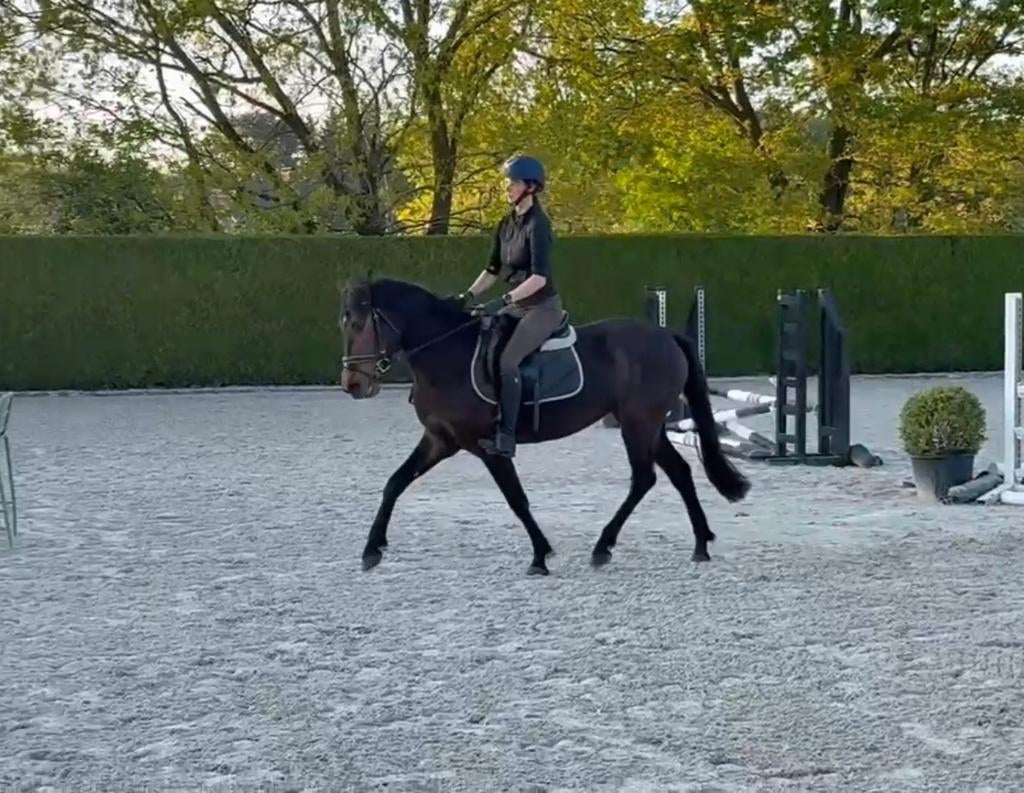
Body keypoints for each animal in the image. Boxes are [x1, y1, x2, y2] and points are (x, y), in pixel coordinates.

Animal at [339, 277, 750, 576]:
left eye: (360, 324)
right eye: (345, 323)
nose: (353, 385)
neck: (447, 356)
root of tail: (665, 335)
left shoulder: (487, 446)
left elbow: (516, 499)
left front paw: (540, 555)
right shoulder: (440, 440)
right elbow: (395, 483)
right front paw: (371, 550)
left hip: (637, 424)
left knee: (643, 479)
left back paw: (603, 547)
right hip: (648, 425)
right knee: (679, 472)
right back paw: (700, 544)